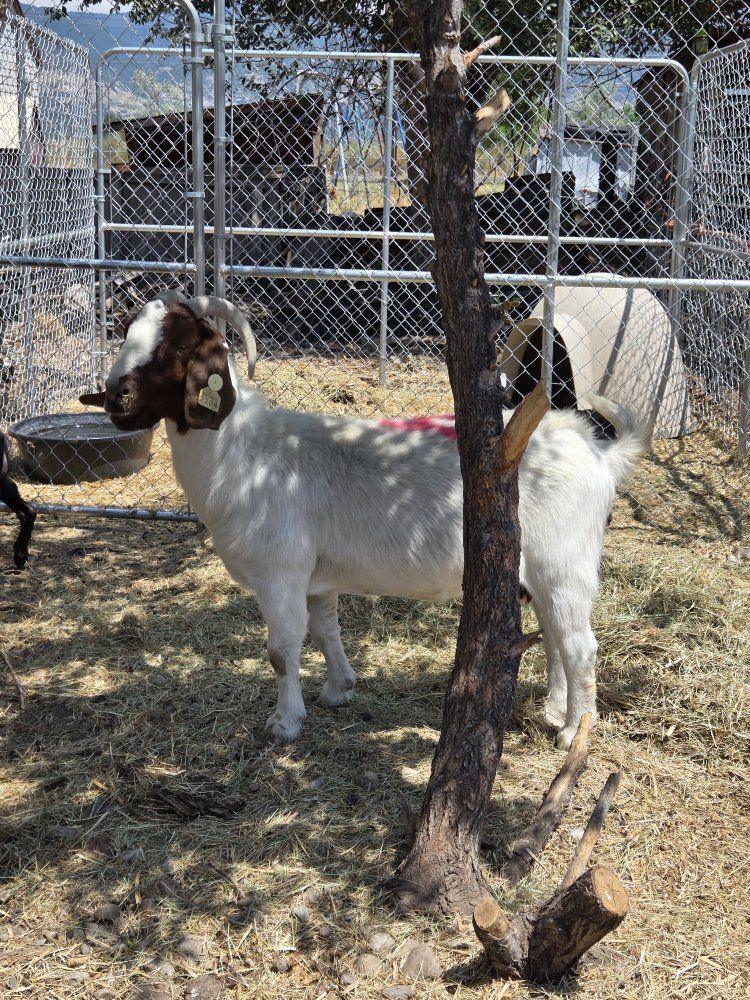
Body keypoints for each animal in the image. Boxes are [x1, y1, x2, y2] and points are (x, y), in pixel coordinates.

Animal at [83, 294, 648, 749]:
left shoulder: (280, 574)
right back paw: (555, 710)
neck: (243, 452)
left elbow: (282, 651)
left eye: (178, 347)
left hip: (563, 565)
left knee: (580, 646)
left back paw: (575, 731)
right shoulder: (316, 577)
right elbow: (325, 631)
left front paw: (285, 723)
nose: (115, 398)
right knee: (553, 638)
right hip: (537, 575)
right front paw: (338, 690)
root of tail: (597, 453)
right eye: (130, 334)